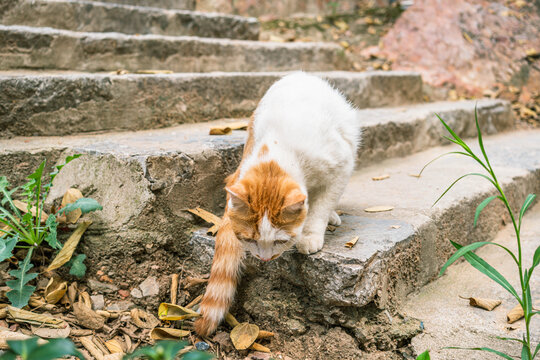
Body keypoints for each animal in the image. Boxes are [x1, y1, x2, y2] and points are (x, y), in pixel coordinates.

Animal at [194, 71, 358, 336]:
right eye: (249, 240)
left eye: (281, 241)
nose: (264, 260)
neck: (281, 149)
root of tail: (299, 74)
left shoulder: (341, 166)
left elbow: (322, 206)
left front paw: (311, 234)